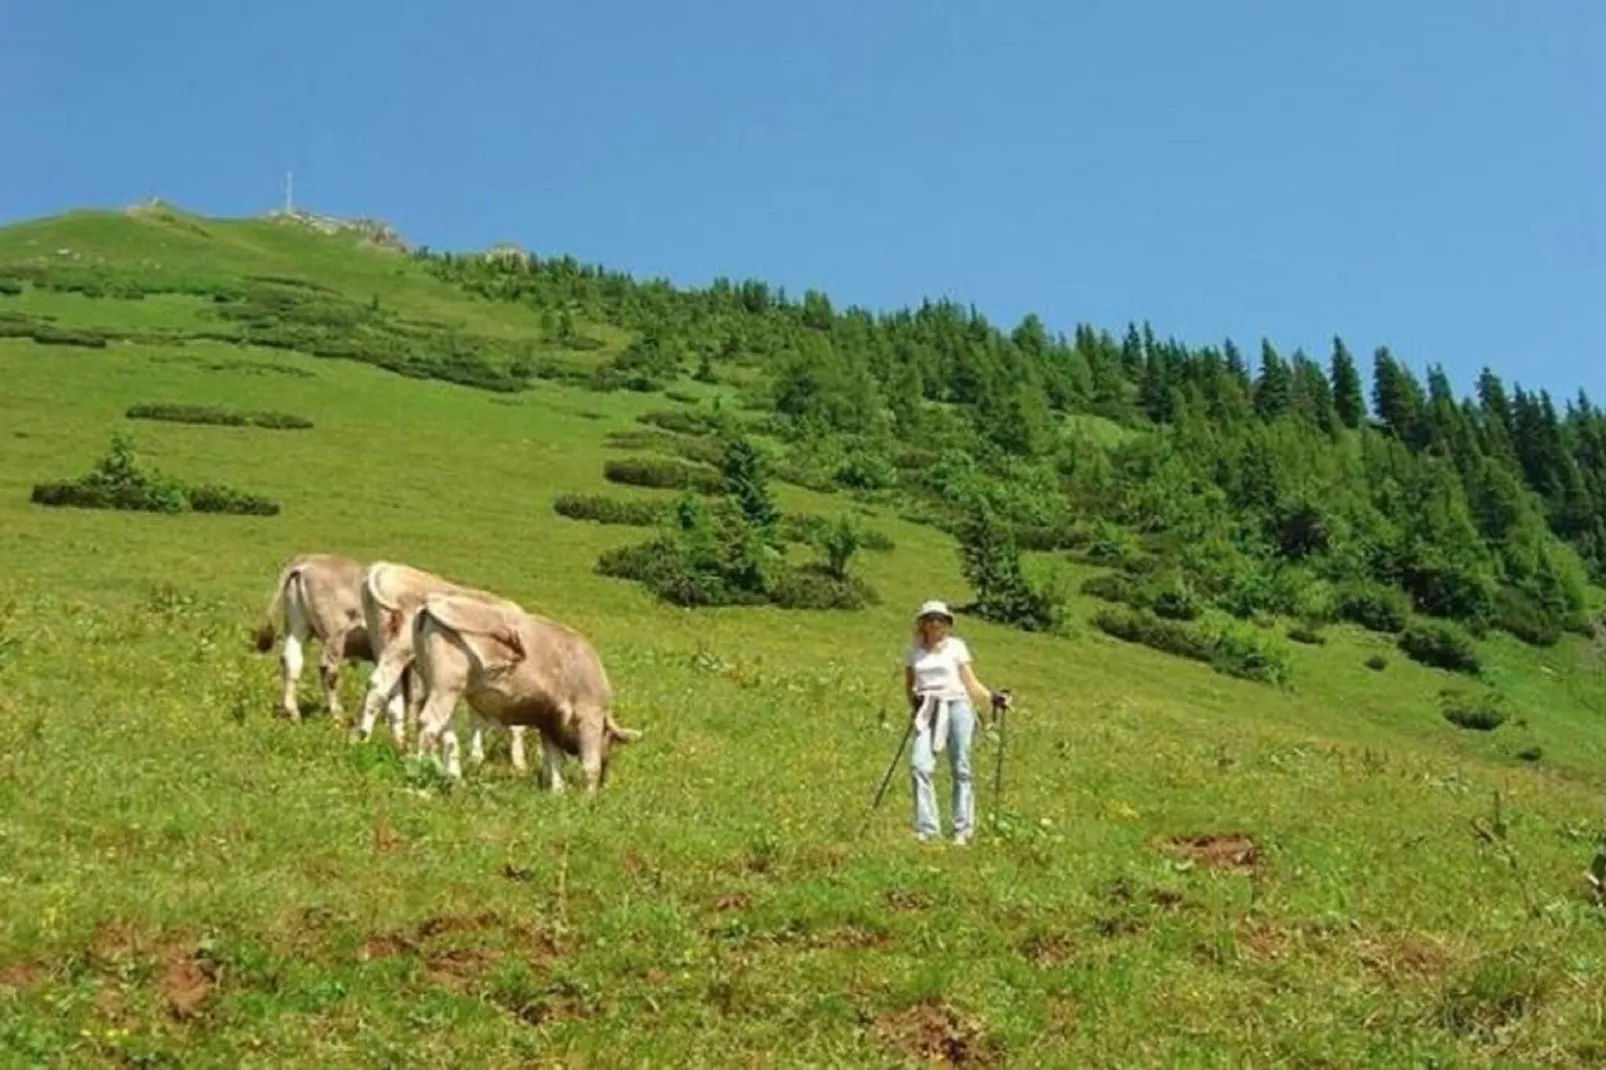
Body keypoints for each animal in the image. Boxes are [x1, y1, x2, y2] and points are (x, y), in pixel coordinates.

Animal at [250, 552, 372, 719]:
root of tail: (309, 559)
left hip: (298, 626)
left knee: (292, 659)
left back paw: (293, 712)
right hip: (335, 633)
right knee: (328, 669)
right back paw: (336, 713)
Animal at [351, 559, 526, 767]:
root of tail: (385, 567)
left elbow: (476, 718)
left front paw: (476, 757)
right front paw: (518, 764)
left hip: (381, 643)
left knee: (393, 694)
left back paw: (399, 743)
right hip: (400, 648)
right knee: (379, 684)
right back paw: (364, 738)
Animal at [407, 588, 639, 787]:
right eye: (611, 741)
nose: (605, 779)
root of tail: (432, 602)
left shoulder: (549, 720)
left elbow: (554, 759)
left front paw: (558, 792)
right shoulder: (589, 715)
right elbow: (589, 765)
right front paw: (587, 798)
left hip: (436, 685)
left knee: (447, 730)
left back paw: (453, 776)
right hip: (446, 687)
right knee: (429, 723)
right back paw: (423, 769)